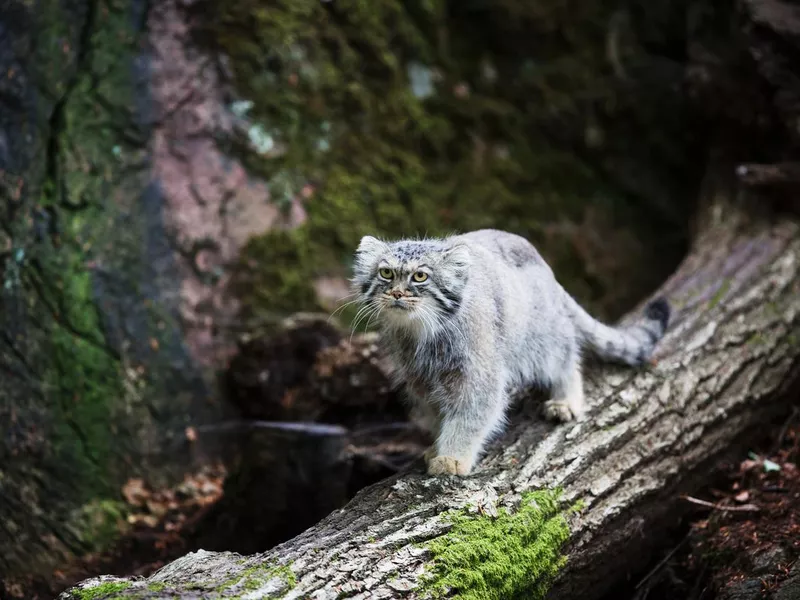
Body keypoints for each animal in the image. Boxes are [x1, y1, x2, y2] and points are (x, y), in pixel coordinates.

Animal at [351, 229, 670, 475]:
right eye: (386, 273)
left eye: (419, 276)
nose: (396, 294)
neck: (422, 333)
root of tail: (545, 267)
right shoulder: (420, 379)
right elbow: (437, 413)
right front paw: (437, 445)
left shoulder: (478, 375)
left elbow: (470, 416)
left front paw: (453, 457)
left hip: (542, 336)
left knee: (567, 356)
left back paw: (567, 399)